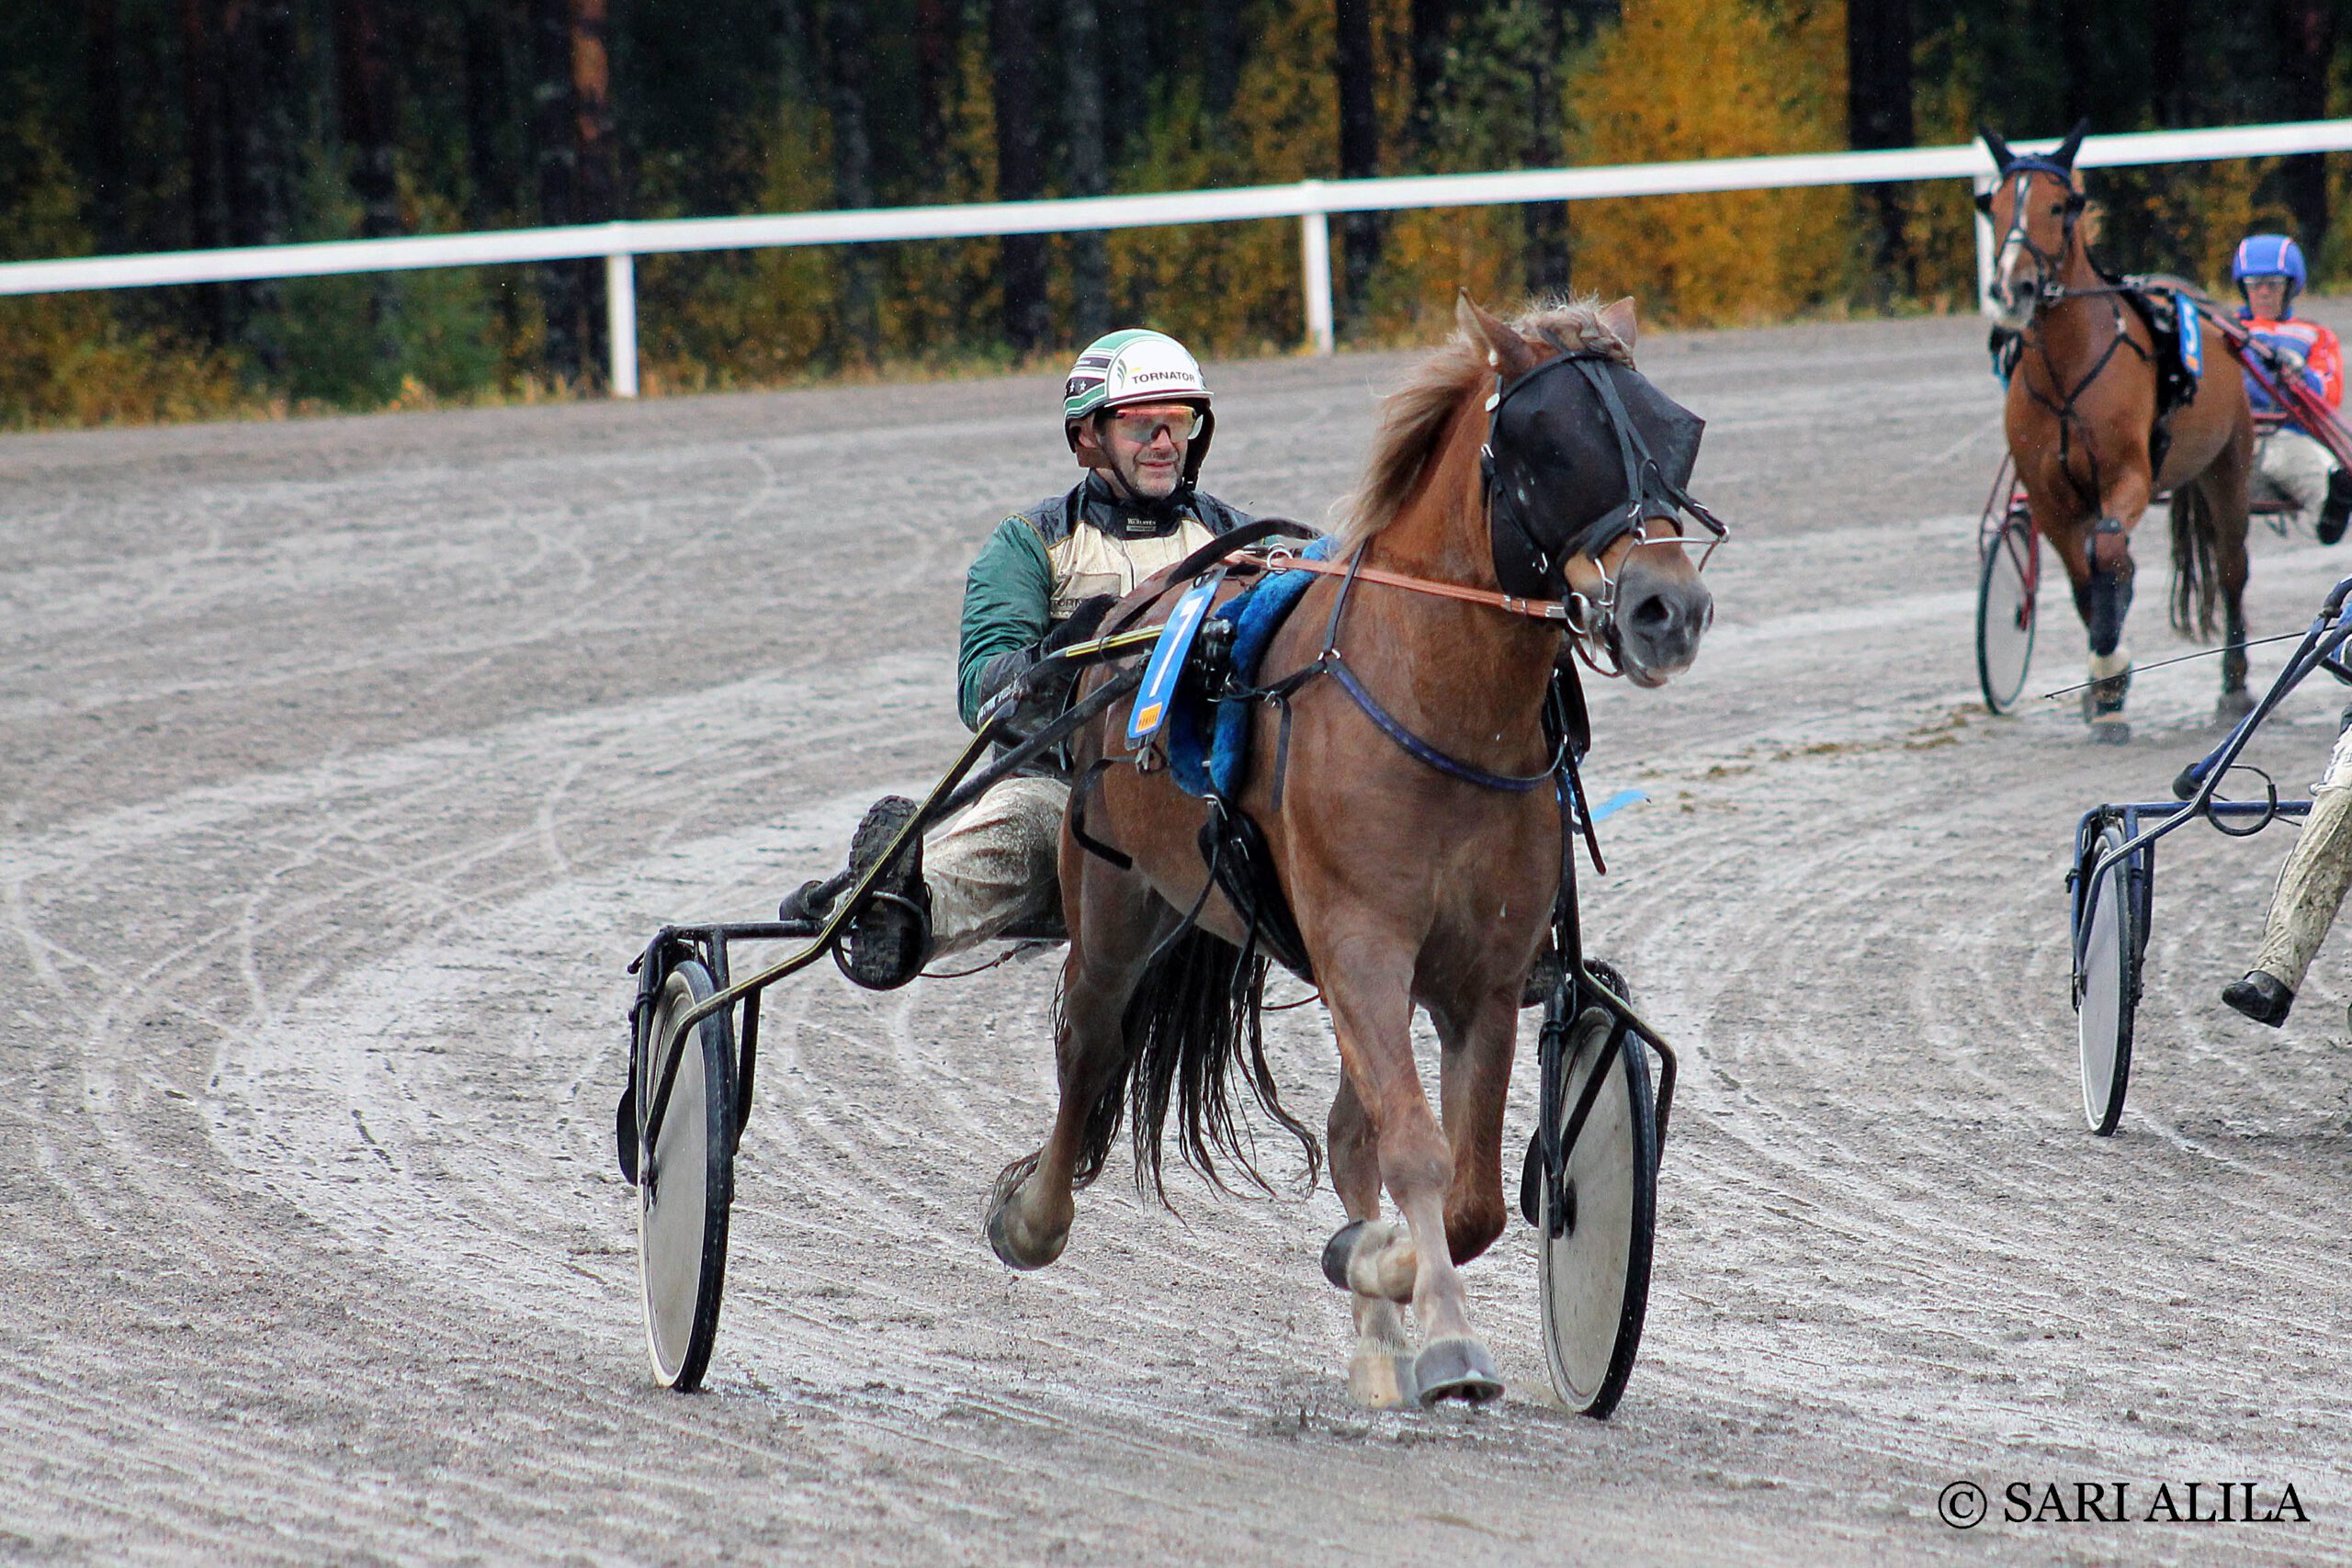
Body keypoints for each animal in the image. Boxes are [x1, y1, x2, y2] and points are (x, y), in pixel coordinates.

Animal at [981, 294, 1718, 1407]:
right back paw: (1033, 1217)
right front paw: (1447, 1339)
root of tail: (1135, 617)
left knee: (1343, 1126)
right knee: (1089, 1041)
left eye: (1677, 430)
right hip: (1116, 899)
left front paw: (1377, 1270)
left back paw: (1376, 1341)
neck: (1440, 707)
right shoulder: (1363, 940)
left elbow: (1469, 1196)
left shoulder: (1478, 974)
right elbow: (1416, 1150)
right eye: (1553, 444)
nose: (1667, 609)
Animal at [1979, 124, 2257, 743]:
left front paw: (2110, 676)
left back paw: (2235, 687)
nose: (2013, 288)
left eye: (2057, 206)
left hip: (2229, 463)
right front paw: (2104, 689)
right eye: (1995, 206)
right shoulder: (2050, 500)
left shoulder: (2127, 474)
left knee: (2232, 567)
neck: (2067, 374)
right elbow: (2086, 579)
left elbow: (2109, 555)